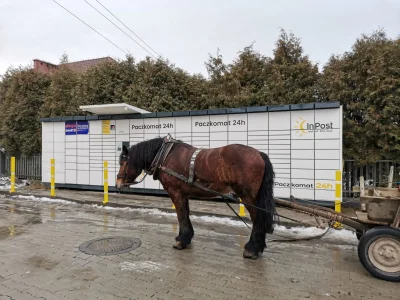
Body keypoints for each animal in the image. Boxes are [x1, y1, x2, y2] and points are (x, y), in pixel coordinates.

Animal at [116, 136, 276, 260]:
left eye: (123, 162)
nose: (118, 183)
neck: (165, 155)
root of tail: (259, 153)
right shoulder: (184, 193)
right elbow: (185, 214)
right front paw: (186, 238)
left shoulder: (176, 192)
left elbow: (181, 215)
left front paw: (181, 241)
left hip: (248, 197)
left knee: (258, 220)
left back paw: (252, 249)